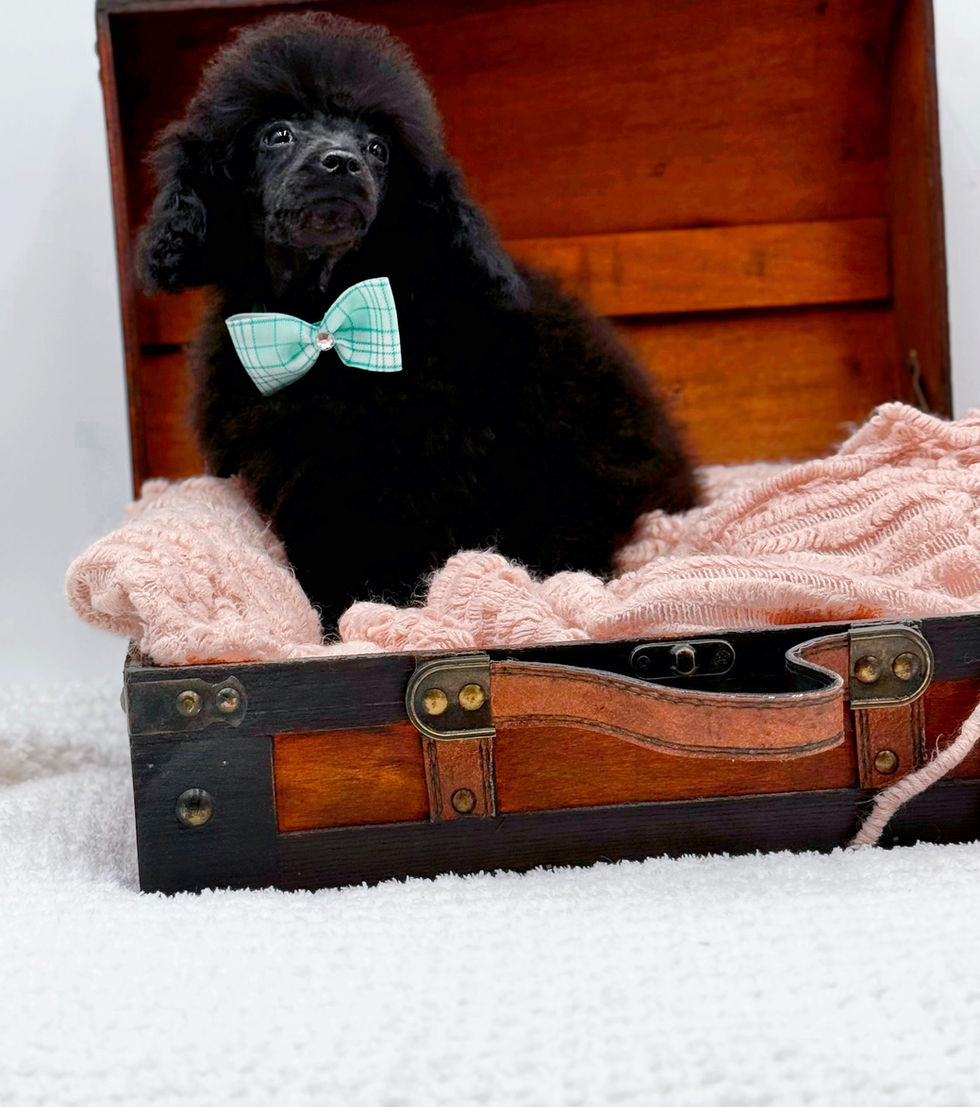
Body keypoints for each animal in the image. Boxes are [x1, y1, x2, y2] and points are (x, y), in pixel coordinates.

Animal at [138, 13, 698, 629]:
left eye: (378, 147)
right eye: (276, 134)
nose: (342, 162)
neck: (322, 318)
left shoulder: (410, 467)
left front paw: (368, 614)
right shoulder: (294, 467)